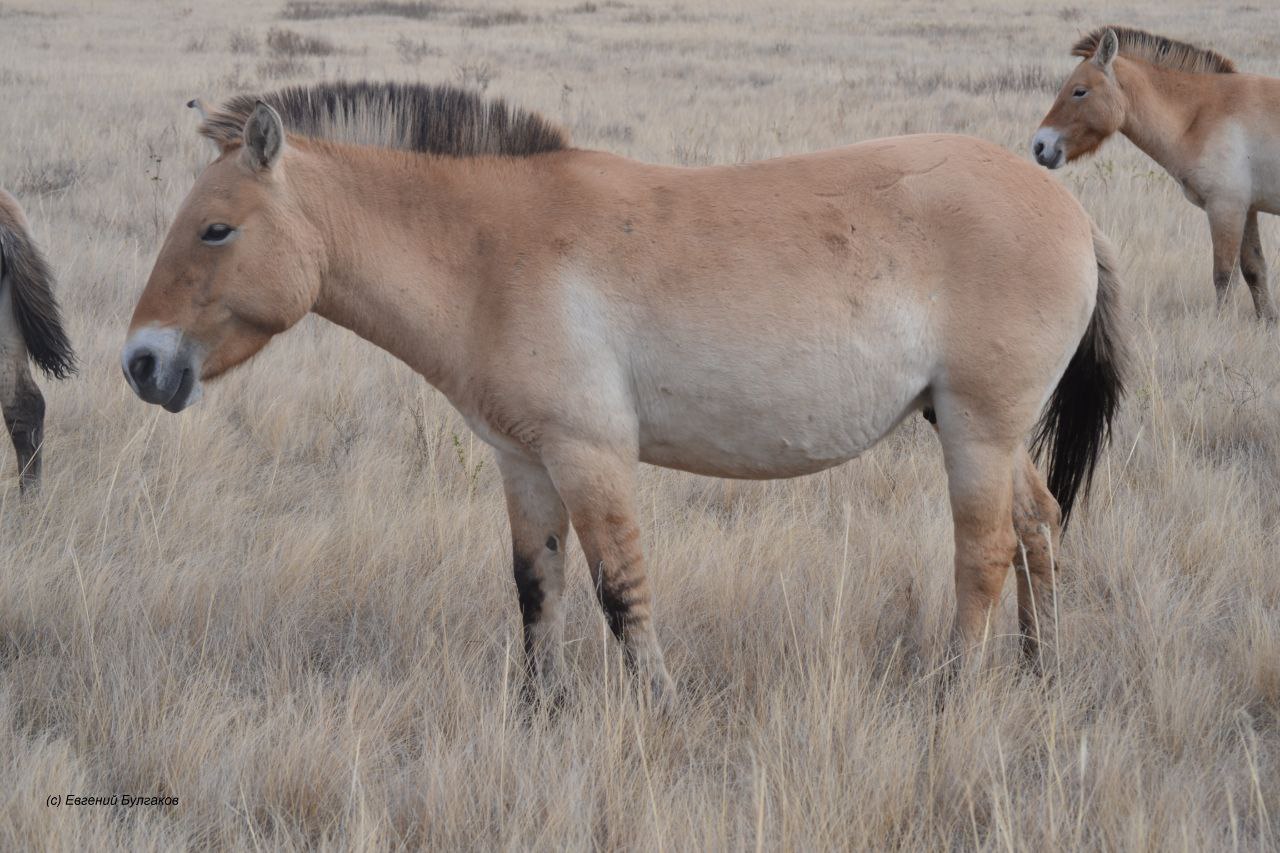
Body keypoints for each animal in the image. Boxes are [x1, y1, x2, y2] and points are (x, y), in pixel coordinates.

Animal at [122, 83, 1131, 701]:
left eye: (215, 229)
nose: (140, 363)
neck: (487, 252)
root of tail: (1072, 211)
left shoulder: (589, 454)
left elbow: (618, 588)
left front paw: (657, 705)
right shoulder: (525, 461)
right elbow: (536, 585)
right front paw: (541, 709)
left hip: (978, 430)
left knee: (986, 551)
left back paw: (952, 692)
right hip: (984, 430)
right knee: (1039, 527)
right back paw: (1040, 673)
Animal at [1029, 26, 1280, 320]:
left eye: (1080, 91)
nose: (1040, 146)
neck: (1199, 116)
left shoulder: (1225, 208)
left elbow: (1224, 276)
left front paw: (1222, 324)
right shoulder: (1246, 209)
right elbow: (1254, 270)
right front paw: (1268, 321)